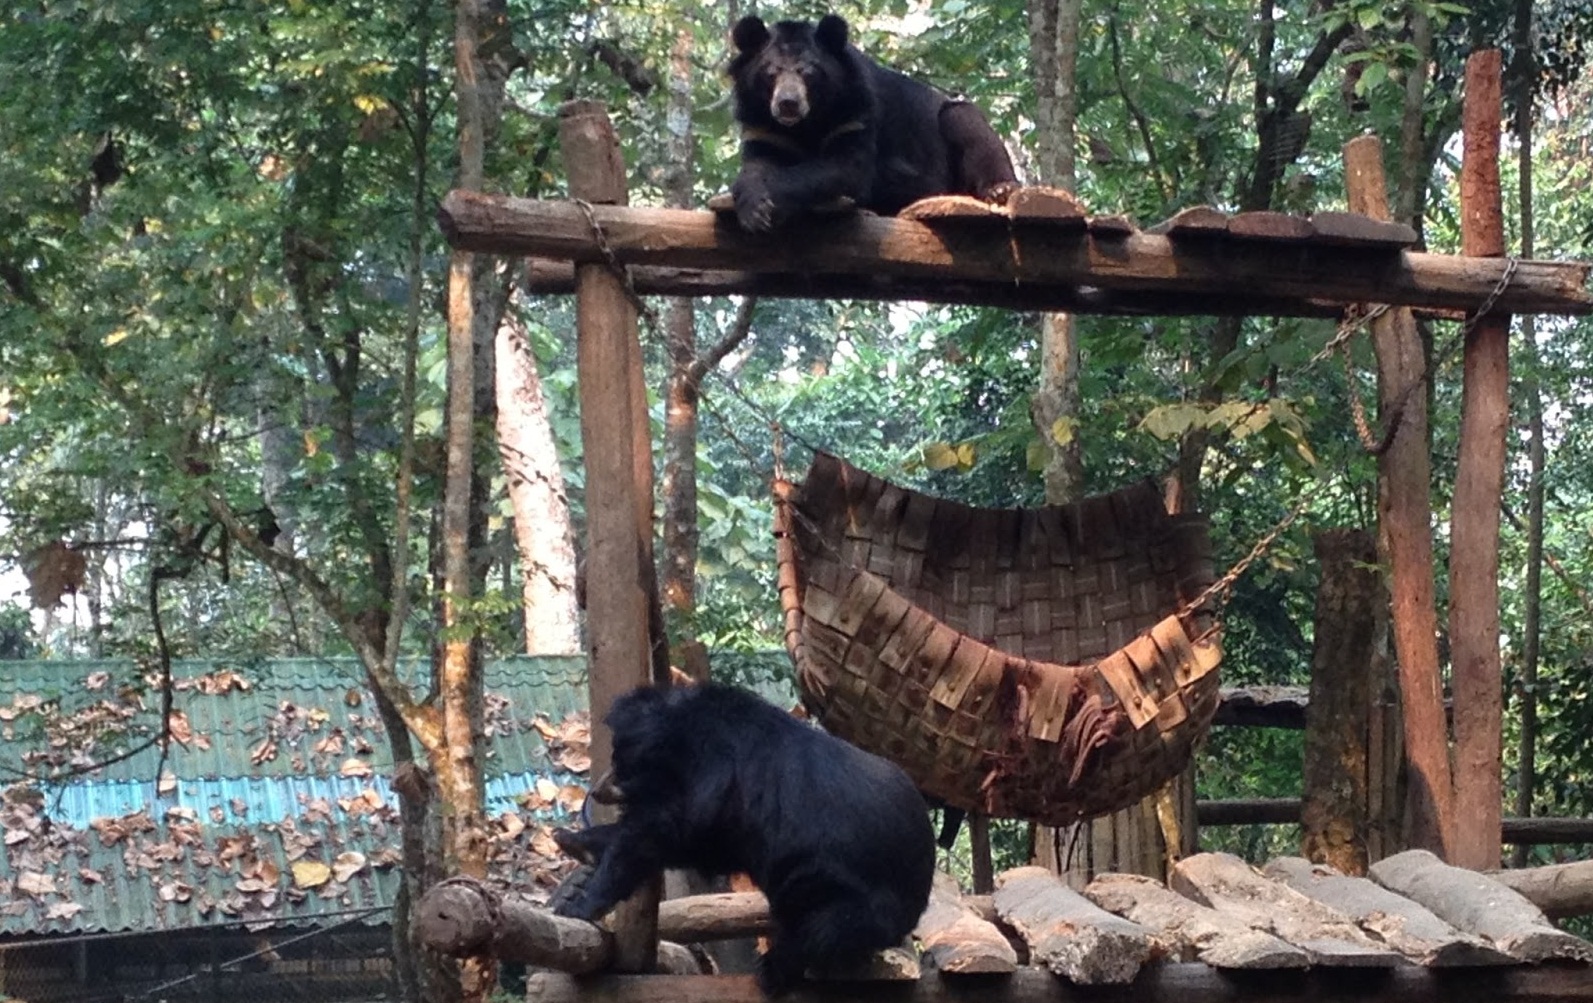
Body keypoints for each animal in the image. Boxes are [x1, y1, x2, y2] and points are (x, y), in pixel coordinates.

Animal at [552, 682, 936, 996]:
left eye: (618, 760)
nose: (596, 790)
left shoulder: (711, 777)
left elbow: (656, 833)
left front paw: (579, 905)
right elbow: (694, 843)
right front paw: (573, 840)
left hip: (854, 898)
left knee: (823, 929)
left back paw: (773, 971)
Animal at [727, 13, 1018, 233]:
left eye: (808, 72)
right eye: (771, 72)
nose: (788, 103)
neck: (805, 123)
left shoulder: (854, 113)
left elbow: (846, 167)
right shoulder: (762, 125)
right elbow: (756, 166)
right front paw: (755, 211)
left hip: (953, 127)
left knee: (966, 122)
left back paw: (1000, 189)